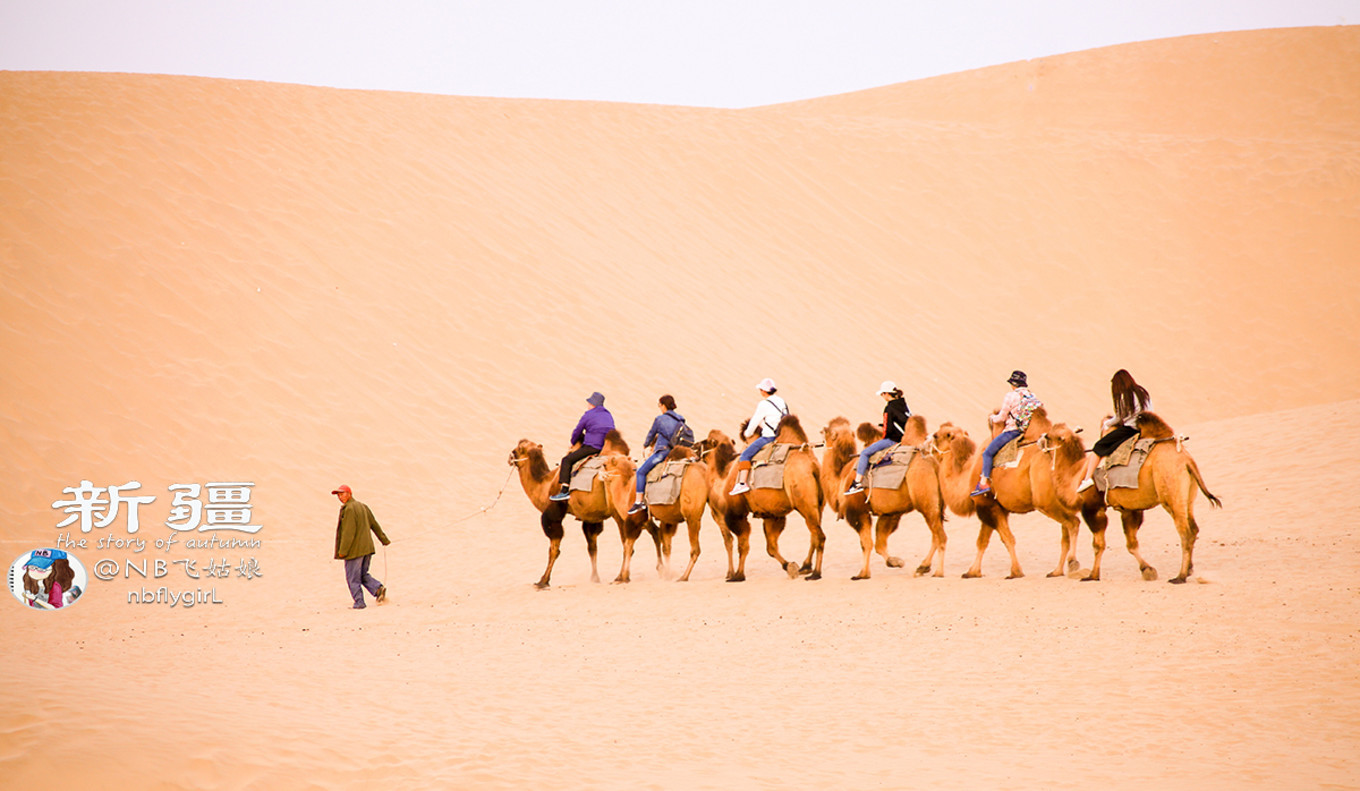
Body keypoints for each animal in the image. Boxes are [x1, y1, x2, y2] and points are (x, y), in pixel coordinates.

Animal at [511, 434, 652, 589]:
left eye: (516, 450)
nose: (509, 459)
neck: (545, 486)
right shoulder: (591, 516)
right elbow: (592, 548)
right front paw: (594, 578)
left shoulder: (554, 513)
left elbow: (554, 549)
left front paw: (543, 581)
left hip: (620, 512)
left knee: (628, 542)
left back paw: (622, 577)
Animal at [644, 445, 718, 581]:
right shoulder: (666, 520)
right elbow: (666, 546)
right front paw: (666, 572)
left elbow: (657, 537)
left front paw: (663, 571)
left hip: (692, 517)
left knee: (695, 549)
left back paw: (683, 576)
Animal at [821, 418, 952, 578]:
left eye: (827, 430)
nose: (821, 430)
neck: (842, 476)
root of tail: (935, 464)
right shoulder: (889, 512)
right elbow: (879, 544)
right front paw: (895, 562)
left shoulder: (858, 511)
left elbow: (866, 543)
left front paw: (862, 574)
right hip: (937, 505)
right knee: (935, 534)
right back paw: (923, 567)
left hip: (926, 501)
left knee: (940, 536)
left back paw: (938, 572)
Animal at [924, 413, 1082, 578]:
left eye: (936, 435)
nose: (924, 443)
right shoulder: (993, 506)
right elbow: (982, 541)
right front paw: (973, 572)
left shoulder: (988, 504)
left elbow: (1007, 538)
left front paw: (1015, 572)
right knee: (1066, 533)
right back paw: (1057, 571)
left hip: (1045, 501)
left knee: (1073, 523)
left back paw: (1073, 563)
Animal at [1077, 413, 1229, 587]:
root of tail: (1187, 461)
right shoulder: (1129, 508)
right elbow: (1129, 542)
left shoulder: (1093, 507)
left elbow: (1098, 544)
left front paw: (1092, 575)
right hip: (1188, 496)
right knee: (1194, 528)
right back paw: (1189, 570)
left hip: (1171, 495)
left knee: (1185, 532)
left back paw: (1180, 576)